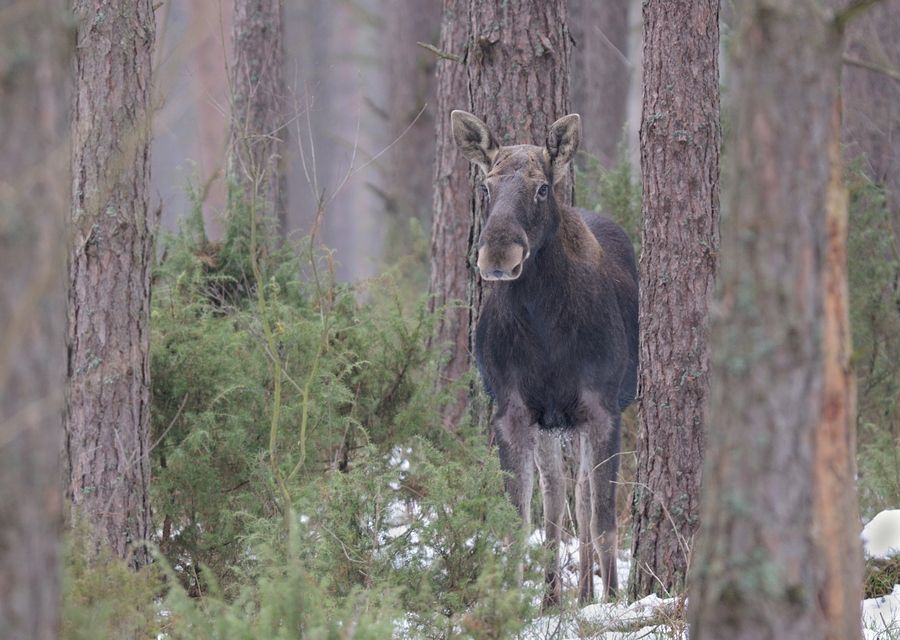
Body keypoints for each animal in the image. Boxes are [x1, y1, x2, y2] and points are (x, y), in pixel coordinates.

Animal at [450, 110, 640, 604]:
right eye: (485, 188)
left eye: (541, 188)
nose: (499, 254)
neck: (544, 326)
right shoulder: (513, 410)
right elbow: (521, 520)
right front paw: (512, 601)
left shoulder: (601, 407)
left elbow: (603, 516)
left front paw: (612, 601)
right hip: (553, 424)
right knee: (557, 498)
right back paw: (555, 594)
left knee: (582, 498)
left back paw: (584, 593)